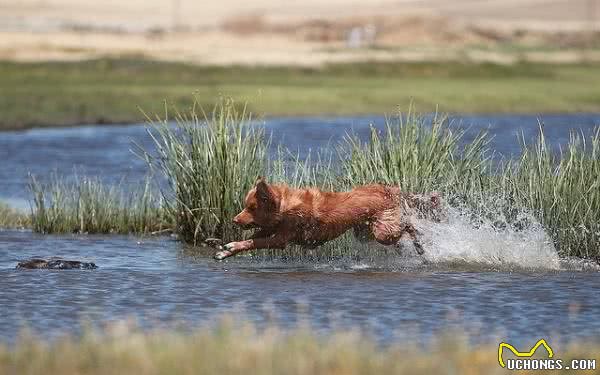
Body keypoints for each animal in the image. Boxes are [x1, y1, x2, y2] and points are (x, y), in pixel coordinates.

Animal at [214, 178, 440, 260]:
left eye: (252, 207)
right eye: (246, 206)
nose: (234, 220)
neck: (285, 206)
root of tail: (389, 190)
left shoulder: (281, 239)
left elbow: (255, 241)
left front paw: (231, 246)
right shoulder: (273, 227)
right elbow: (254, 236)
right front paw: (225, 249)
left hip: (382, 232)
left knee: (407, 226)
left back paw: (420, 242)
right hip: (364, 233)